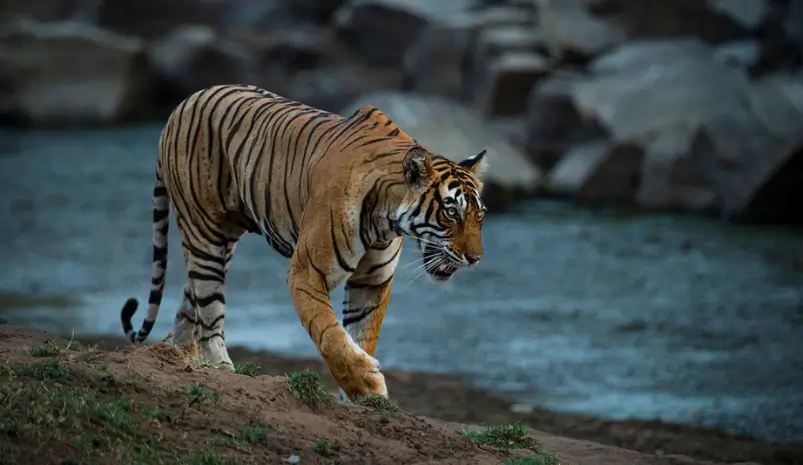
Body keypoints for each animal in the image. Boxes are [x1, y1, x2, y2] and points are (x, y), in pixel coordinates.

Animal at [119, 84, 488, 401]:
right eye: (452, 212)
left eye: (480, 215)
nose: (476, 258)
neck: (386, 219)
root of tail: (181, 105)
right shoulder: (307, 271)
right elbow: (330, 335)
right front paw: (367, 385)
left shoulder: (373, 282)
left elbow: (362, 335)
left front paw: (361, 400)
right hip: (205, 230)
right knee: (209, 306)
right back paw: (220, 366)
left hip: (223, 240)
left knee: (190, 298)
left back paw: (180, 357)